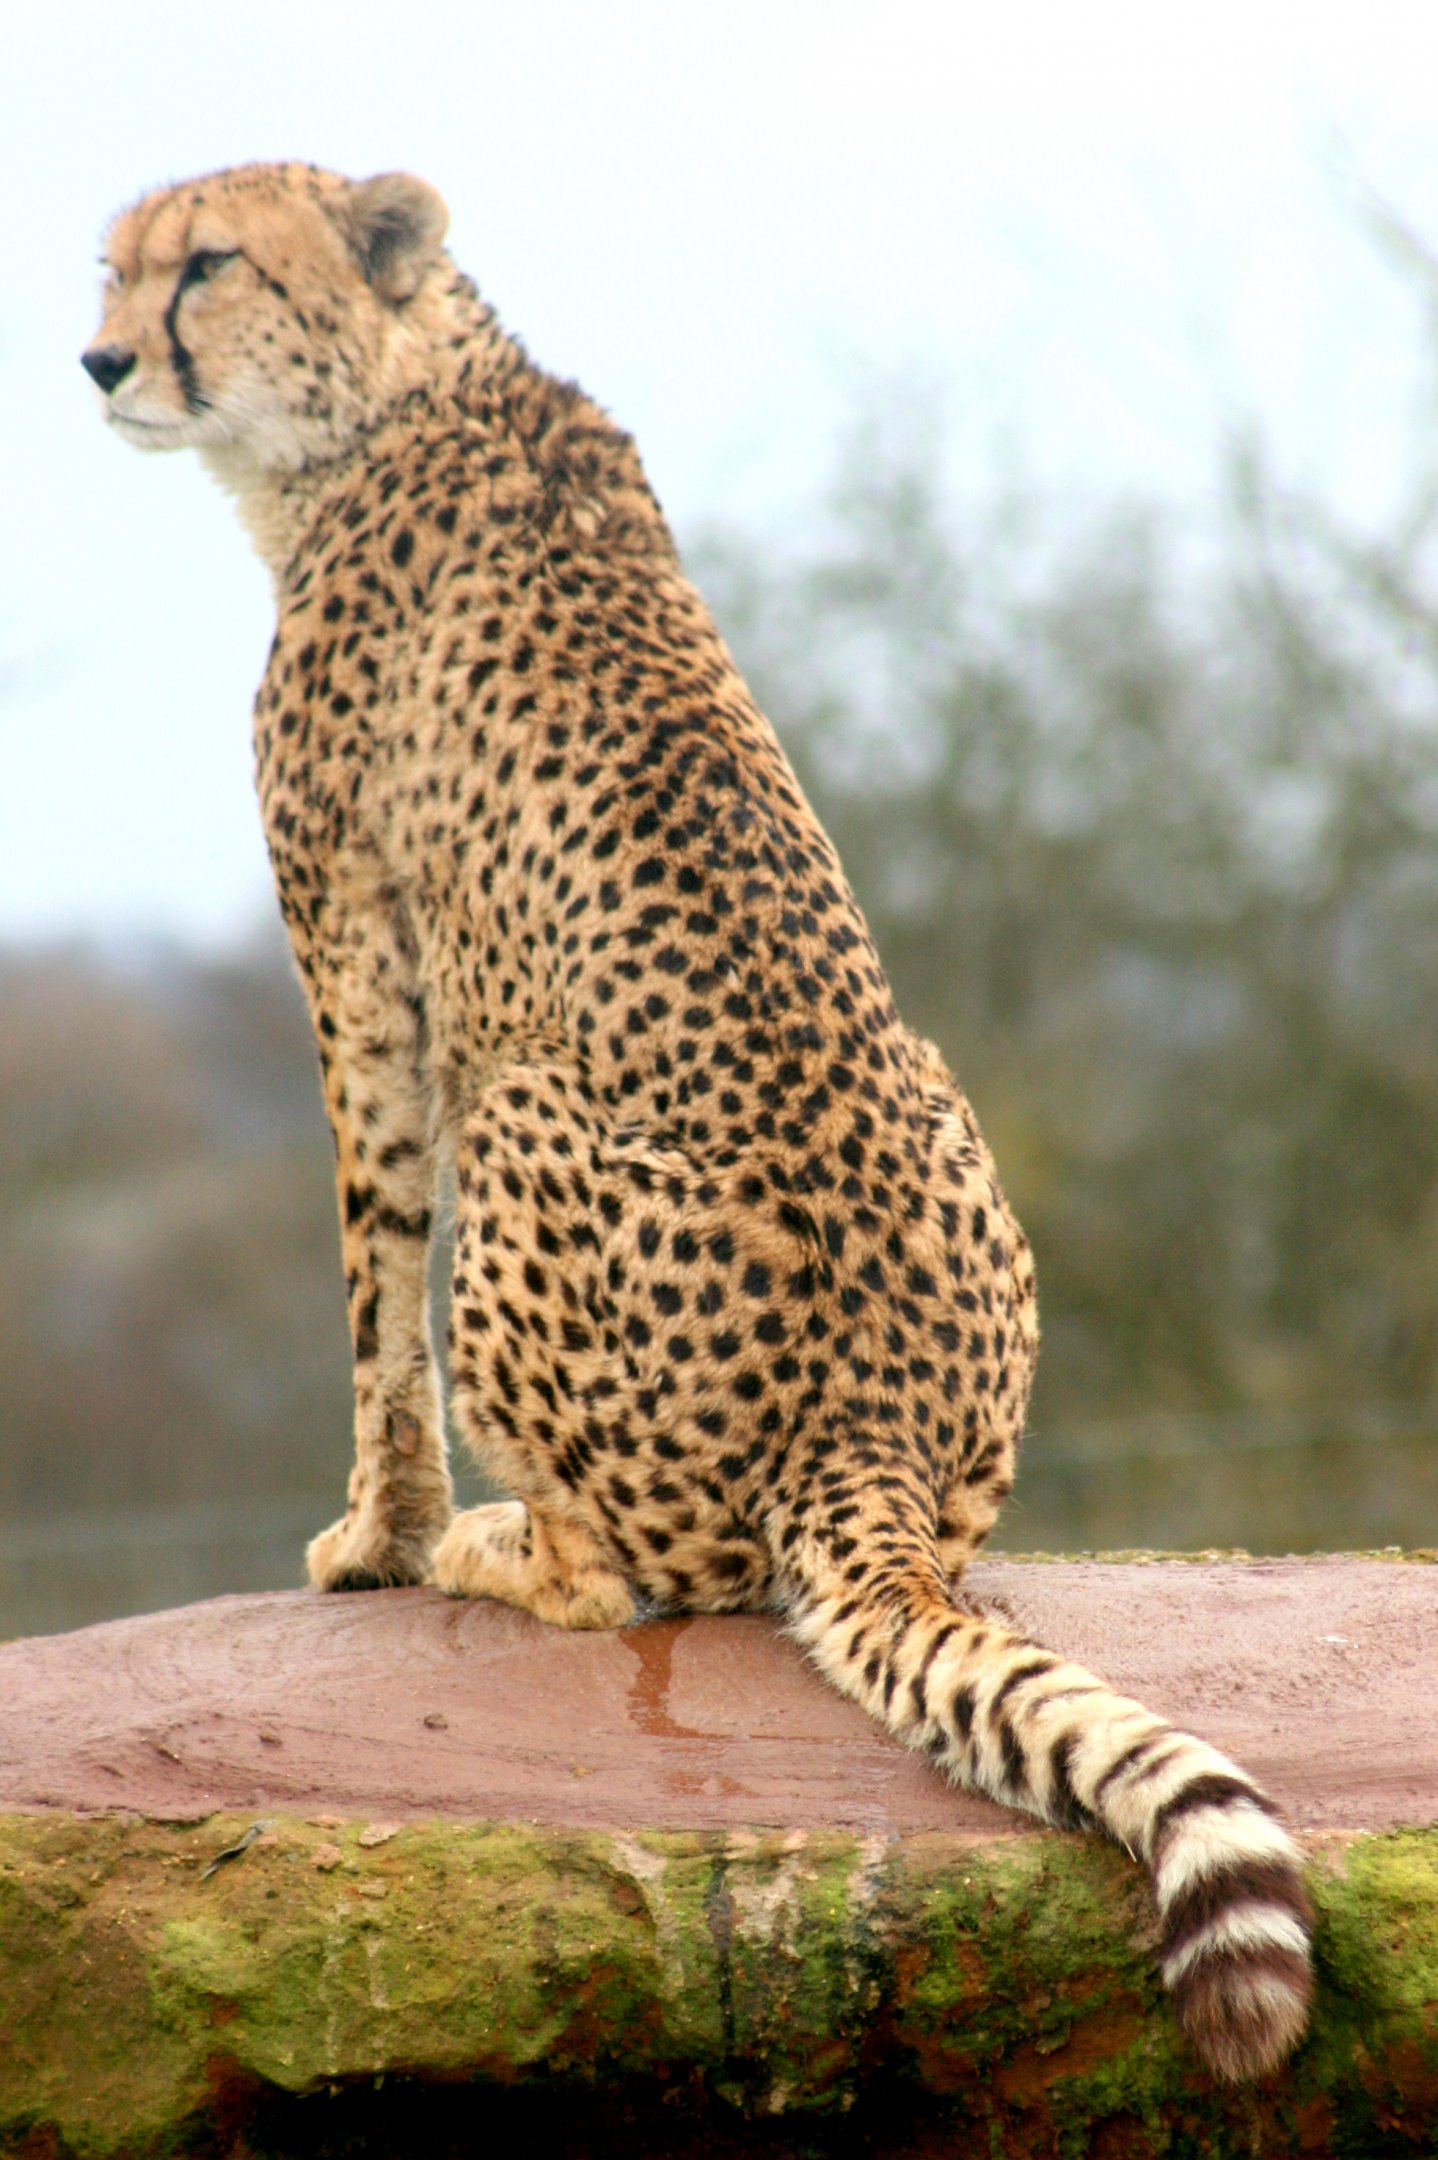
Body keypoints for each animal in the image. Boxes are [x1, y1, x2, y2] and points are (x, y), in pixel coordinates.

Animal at [85, 161, 1313, 2081]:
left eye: (205, 263)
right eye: (112, 267)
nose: (101, 358)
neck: (401, 390)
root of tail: (868, 1434)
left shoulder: (355, 945)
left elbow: (371, 1270)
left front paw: (378, 1540)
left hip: (525, 1102)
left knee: (630, 1585)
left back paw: (494, 1548)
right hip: (940, 1138)